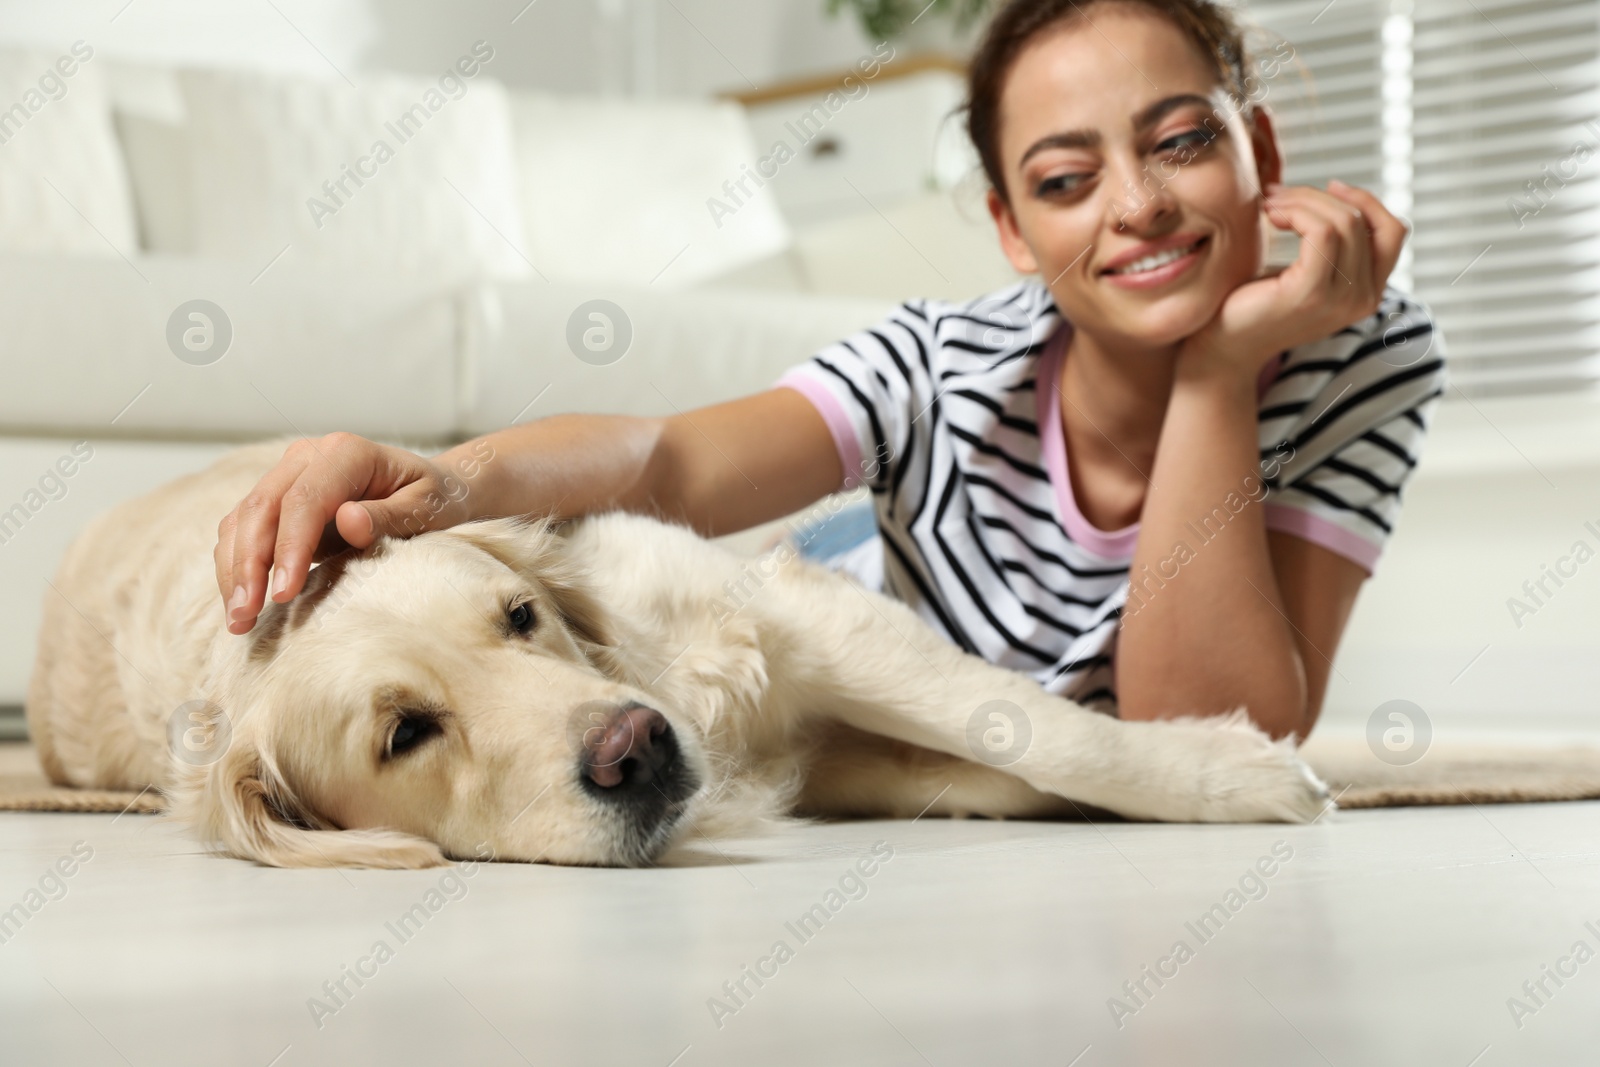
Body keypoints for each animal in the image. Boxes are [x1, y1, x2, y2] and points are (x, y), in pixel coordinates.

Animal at [25, 441, 1331, 870]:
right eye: (405, 731)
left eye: (521, 617)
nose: (637, 749)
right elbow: (993, 757)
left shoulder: (783, 616)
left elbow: (1040, 730)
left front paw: (1235, 773)